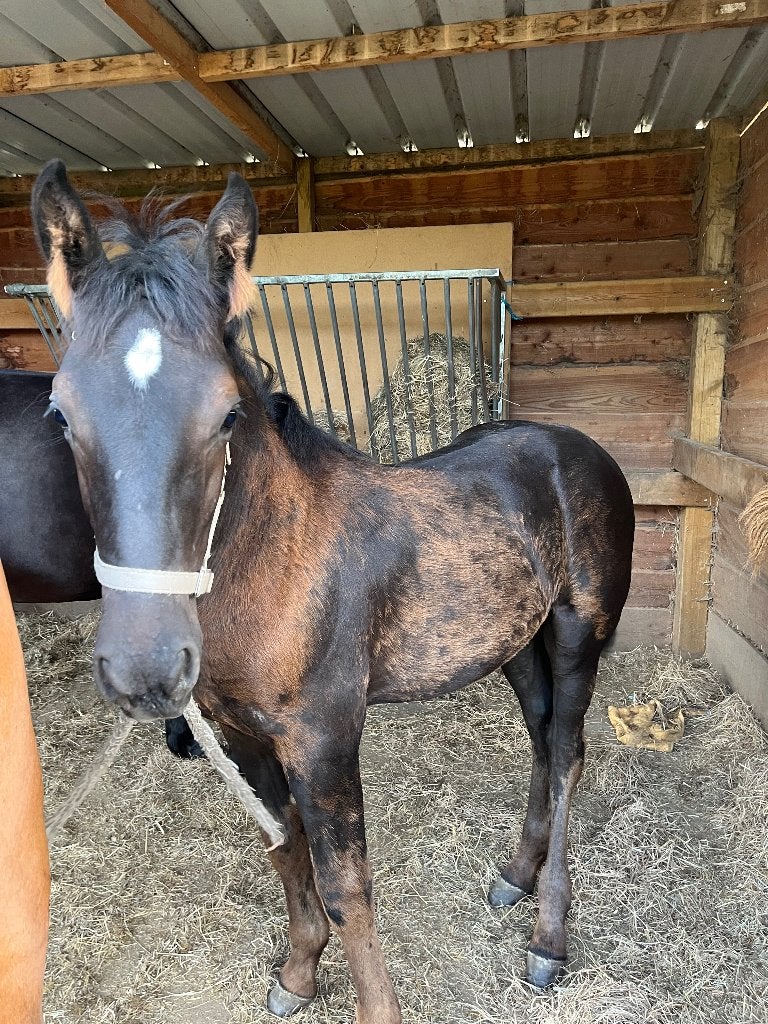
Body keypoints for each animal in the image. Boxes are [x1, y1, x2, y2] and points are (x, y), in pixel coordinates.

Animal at [30, 159, 635, 1023]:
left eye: (226, 415)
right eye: (60, 412)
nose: (145, 669)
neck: (275, 567)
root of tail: (576, 448)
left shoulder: (325, 737)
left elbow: (349, 886)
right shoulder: (239, 736)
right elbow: (285, 849)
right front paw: (297, 973)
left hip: (581, 630)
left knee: (566, 753)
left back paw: (548, 937)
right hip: (512, 645)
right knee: (542, 738)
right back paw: (514, 878)